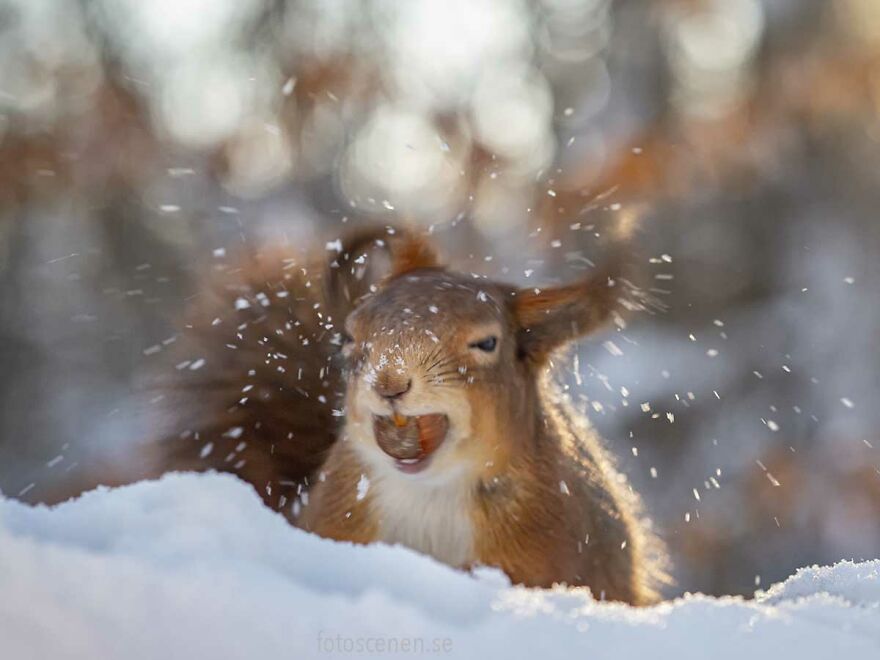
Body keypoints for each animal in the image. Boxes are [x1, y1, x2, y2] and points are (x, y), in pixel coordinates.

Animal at [148, 224, 669, 605]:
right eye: (349, 337)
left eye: (487, 342)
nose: (390, 384)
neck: (430, 491)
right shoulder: (338, 522)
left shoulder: (544, 551)